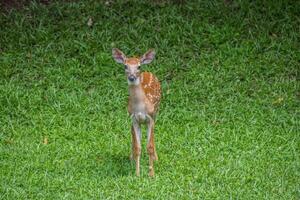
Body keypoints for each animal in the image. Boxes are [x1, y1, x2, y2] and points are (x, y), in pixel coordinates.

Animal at [112, 48, 162, 177]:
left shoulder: (150, 118)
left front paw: (151, 173)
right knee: (132, 135)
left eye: (139, 66)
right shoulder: (134, 119)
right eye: (125, 66)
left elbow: (149, 146)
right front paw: (137, 173)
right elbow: (138, 147)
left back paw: (156, 158)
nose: (132, 77)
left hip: (156, 111)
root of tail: (148, 72)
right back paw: (131, 158)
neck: (140, 106)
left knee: (153, 136)